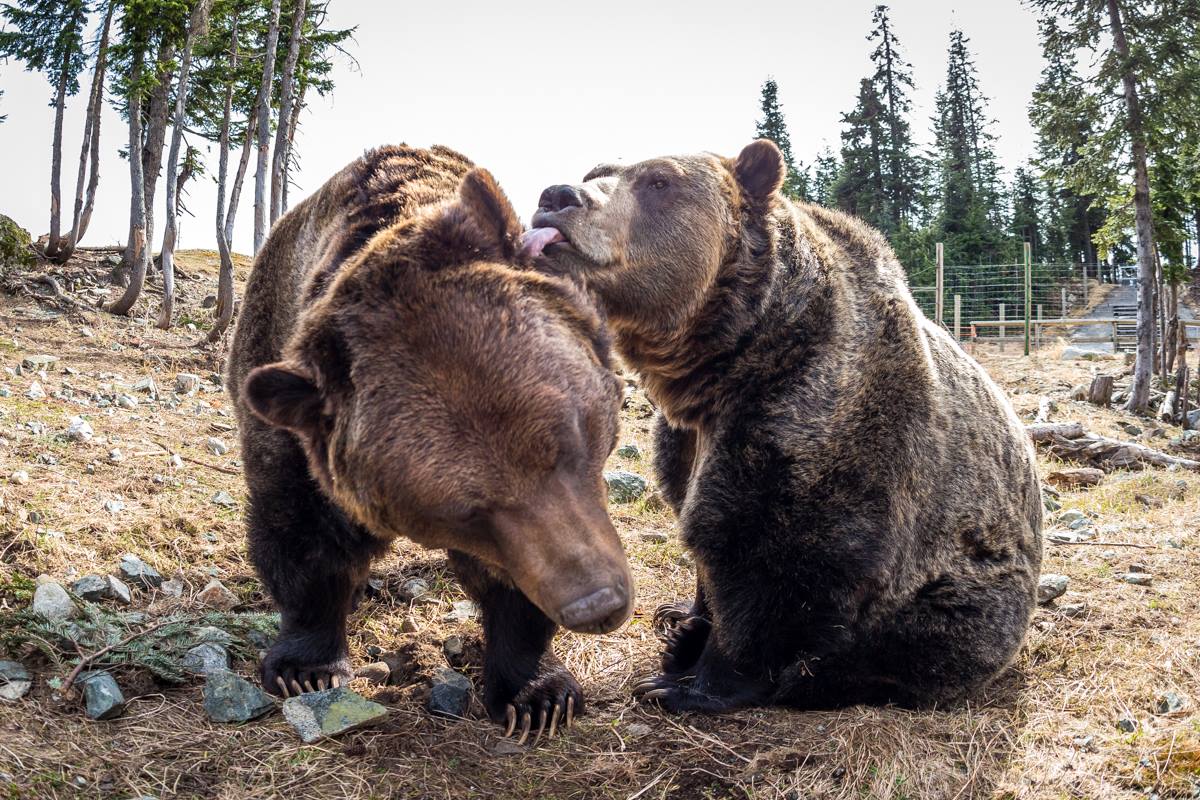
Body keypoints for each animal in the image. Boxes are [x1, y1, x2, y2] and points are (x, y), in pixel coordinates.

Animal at [227, 144, 632, 740]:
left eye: (568, 439)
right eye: (467, 510)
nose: (597, 603)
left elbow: (513, 585)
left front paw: (537, 694)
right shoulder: (293, 417)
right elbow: (303, 536)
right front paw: (306, 668)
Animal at [520, 139, 1043, 712]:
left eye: (659, 181)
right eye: (597, 171)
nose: (557, 196)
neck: (733, 355)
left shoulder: (812, 416)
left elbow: (771, 552)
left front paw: (686, 682)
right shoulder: (684, 437)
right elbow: (697, 523)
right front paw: (683, 617)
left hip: (966, 587)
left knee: (918, 645)